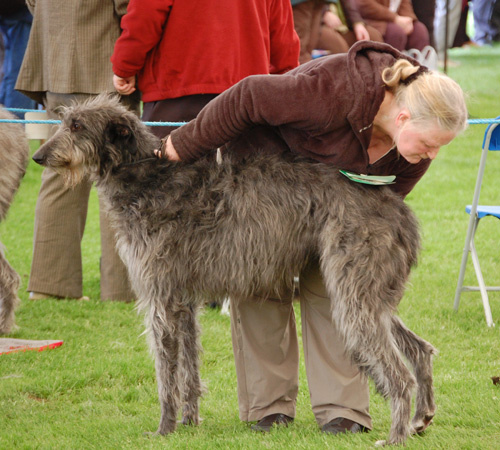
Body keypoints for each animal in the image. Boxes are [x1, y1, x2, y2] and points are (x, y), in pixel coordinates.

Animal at [33, 96, 436, 444]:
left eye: (77, 126)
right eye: (64, 121)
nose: (39, 156)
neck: (147, 178)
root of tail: (399, 209)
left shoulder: (161, 298)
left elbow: (166, 374)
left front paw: (164, 429)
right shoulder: (184, 301)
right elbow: (189, 368)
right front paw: (190, 422)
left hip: (354, 293)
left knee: (399, 374)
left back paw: (395, 437)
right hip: (371, 294)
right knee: (420, 349)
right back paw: (420, 418)